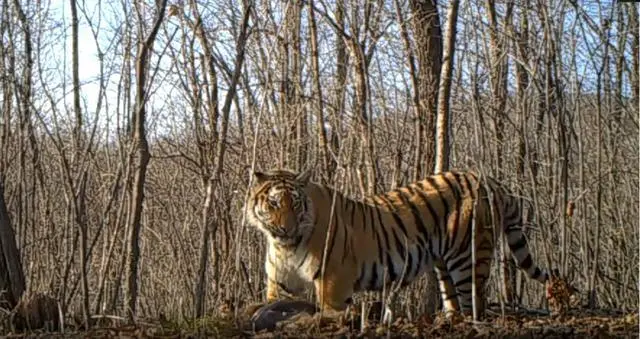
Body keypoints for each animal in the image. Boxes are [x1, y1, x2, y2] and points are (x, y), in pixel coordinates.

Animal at [246, 169, 552, 318]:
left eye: (296, 204)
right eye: (274, 203)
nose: (286, 227)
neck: (285, 246)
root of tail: (489, 178)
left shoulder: (333, 281)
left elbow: (329, 310)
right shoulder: (281, 283)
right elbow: (272, 304)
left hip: (470, 256)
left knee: (475, 300)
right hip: (444, 263)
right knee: (453, 299)